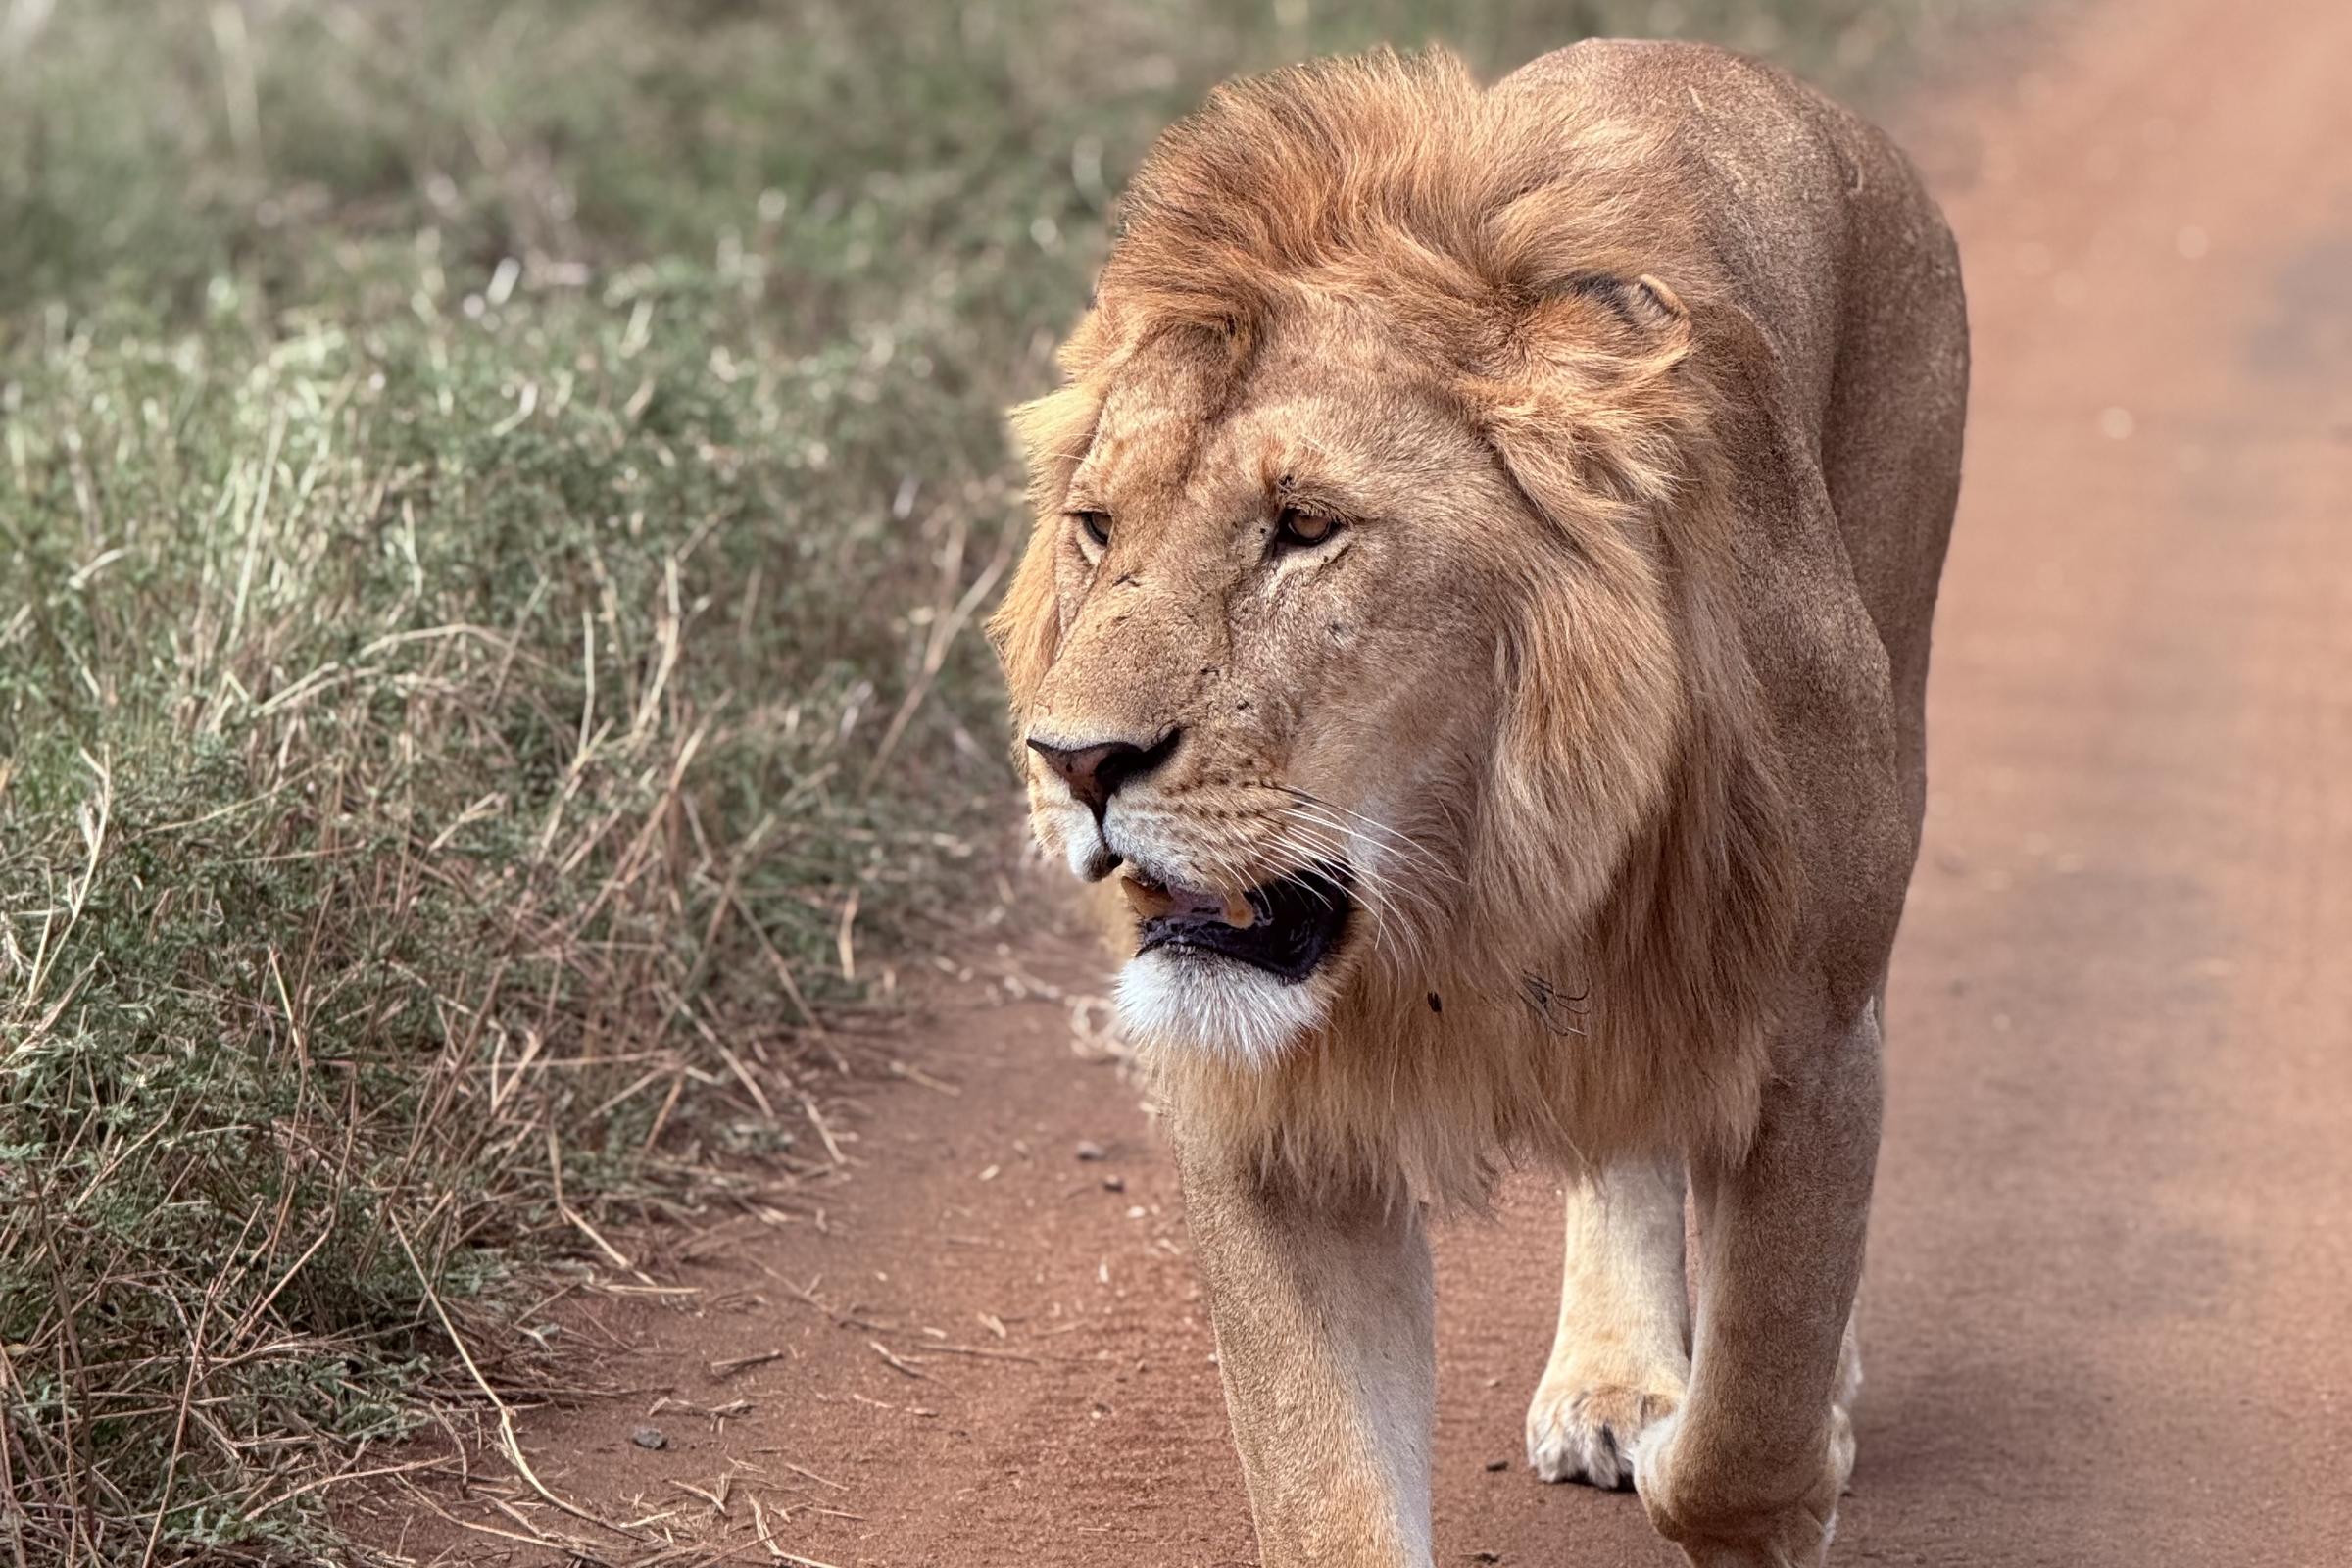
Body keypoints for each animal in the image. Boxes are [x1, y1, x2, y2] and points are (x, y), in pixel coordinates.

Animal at [985, 39, 1965, 1568]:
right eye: (1095, 530)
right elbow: (1327, 1497)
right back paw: (1618, 1379)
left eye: (1306, 529)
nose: (1073, 761)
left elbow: (1748, 1427)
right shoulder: (1266, 1118)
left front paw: (1780, 1448)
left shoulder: (1807, 1038)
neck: (1466, 879)